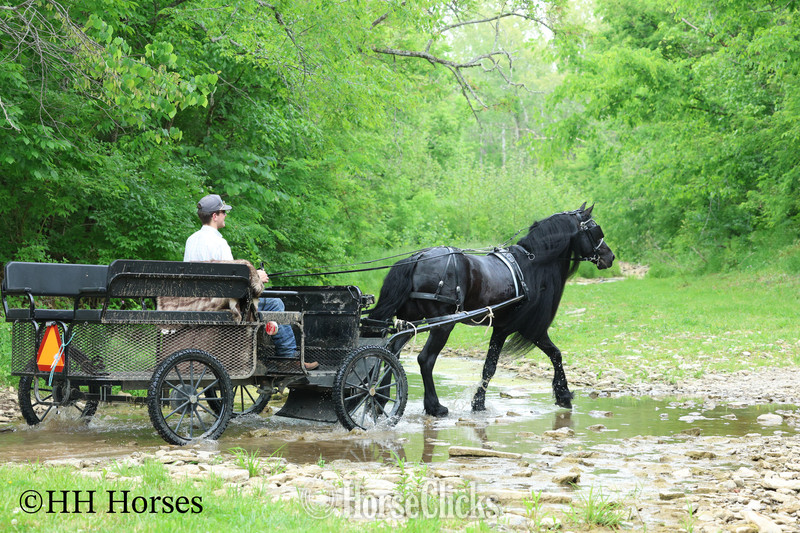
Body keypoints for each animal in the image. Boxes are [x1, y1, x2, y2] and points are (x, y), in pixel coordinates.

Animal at [367, 203, 615, 416]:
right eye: (595, 230)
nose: (609, 256)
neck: (532, 264)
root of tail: (418, 257)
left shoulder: (501, 328)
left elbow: (489, 367)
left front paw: (478, 403)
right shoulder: (527, 329)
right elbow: (555, 354)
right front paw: (563, 394)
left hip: (410, 321)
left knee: (392, 352)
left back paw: (380, 399)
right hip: (443, 325)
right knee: (425, 359)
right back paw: (434, 406)